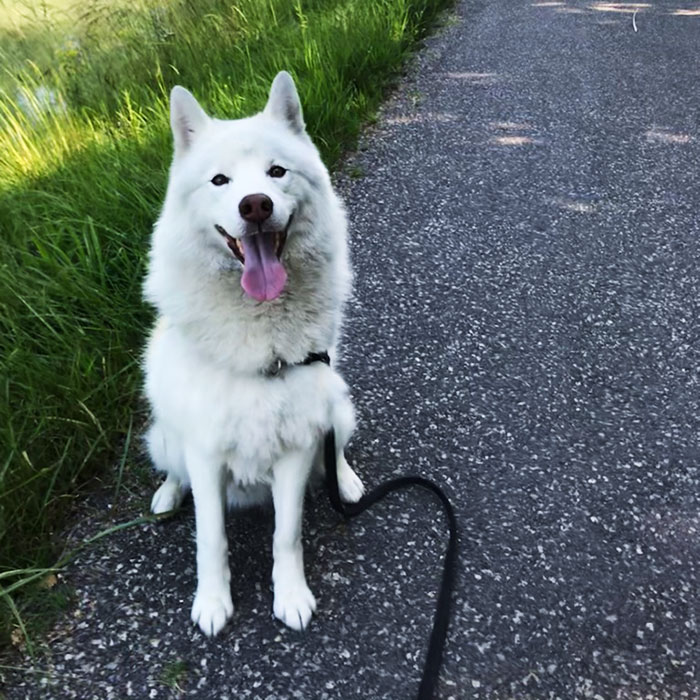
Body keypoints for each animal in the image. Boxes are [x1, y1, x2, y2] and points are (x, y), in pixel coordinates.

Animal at [140, 71, 364, 636]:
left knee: (338, 451)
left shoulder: (297, 449)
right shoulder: (203, 453)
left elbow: (286, 536)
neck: (262, 343)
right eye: (220, 181)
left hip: (338, 407)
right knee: (173, 471)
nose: (256, 205)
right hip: (165, 439)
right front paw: (213, 603)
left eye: (276, 171)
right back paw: (167, 494)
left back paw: (347, 482)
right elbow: (210, 538)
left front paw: (291, 597)